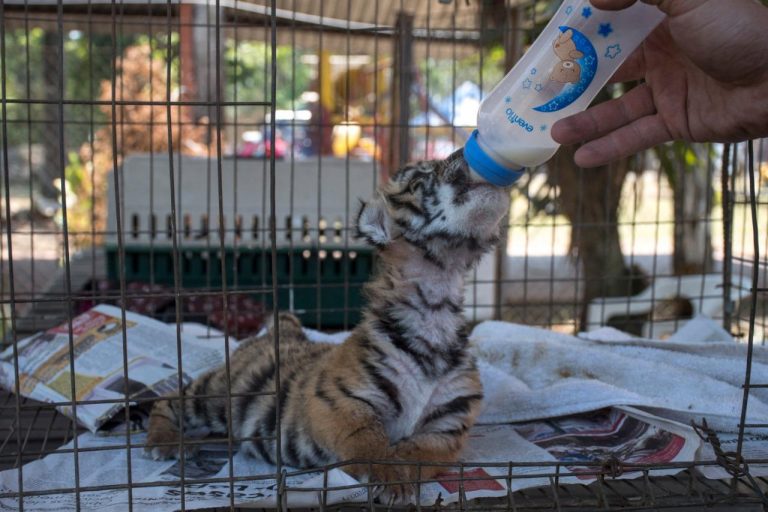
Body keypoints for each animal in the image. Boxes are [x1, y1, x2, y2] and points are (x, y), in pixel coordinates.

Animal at [145, 148, 511, 502]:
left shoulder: (447, 427)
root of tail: (285, 327)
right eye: (420, 179)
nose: (466, 153)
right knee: (168, 399)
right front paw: (388, 480)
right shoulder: (340, 400)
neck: (436, 304)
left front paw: (401, 479)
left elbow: (414, 453)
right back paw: (164, 443)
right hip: (218, 391)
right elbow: (371, 440)